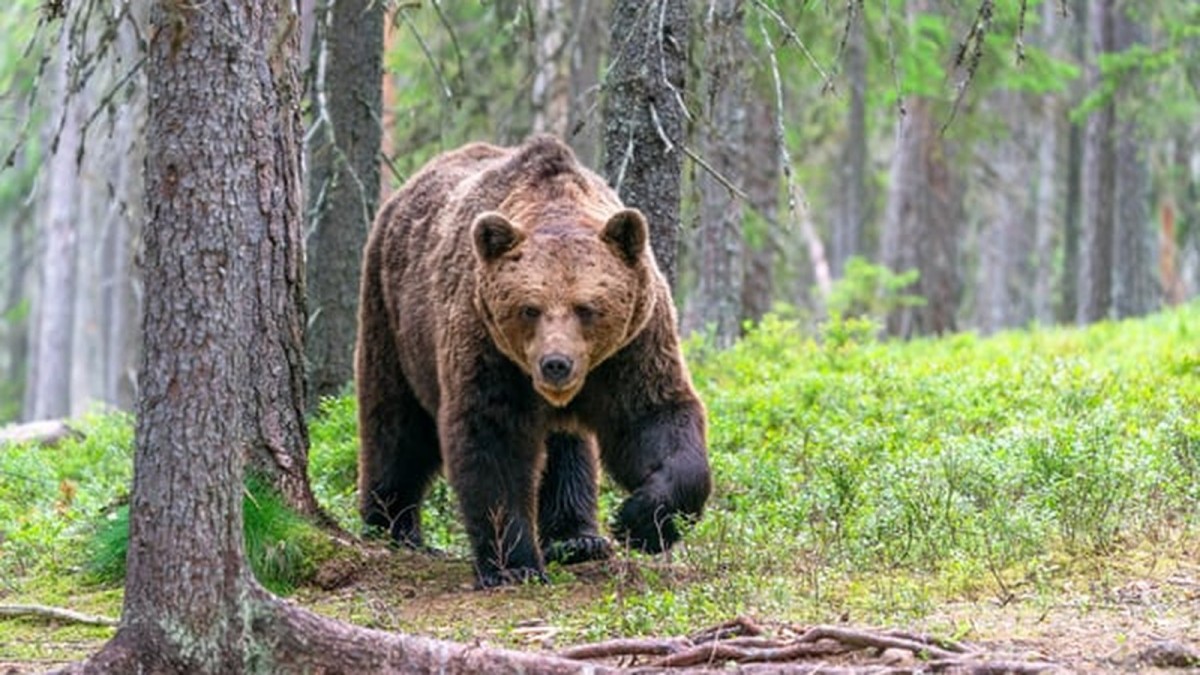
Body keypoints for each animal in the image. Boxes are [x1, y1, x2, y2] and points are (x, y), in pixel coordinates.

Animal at [355, 135, 711, 588]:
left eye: (587, 308)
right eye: (529, 308)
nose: (555, 364)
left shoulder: (630, 348)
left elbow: (654, 418)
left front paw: (639, 521)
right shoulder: (488, 347)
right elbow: (493, 440)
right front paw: (514, 565)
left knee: (567, 448)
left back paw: (577, 538)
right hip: (392, 319)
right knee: (397, 425)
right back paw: (392, 526)